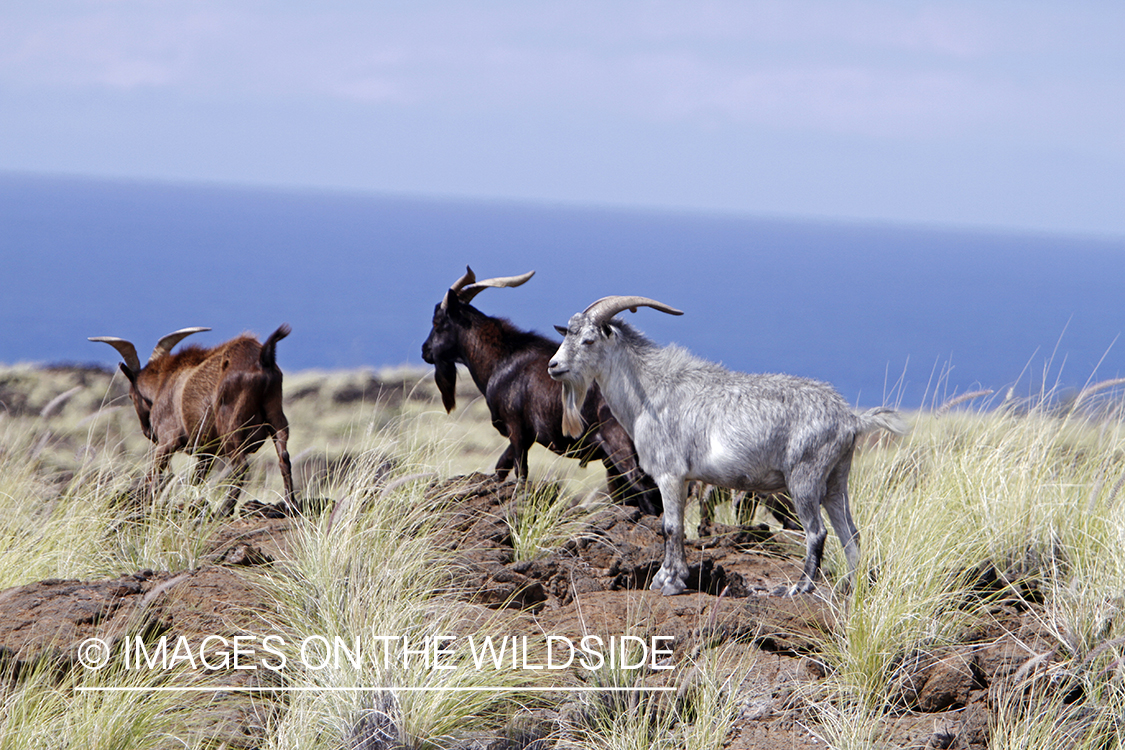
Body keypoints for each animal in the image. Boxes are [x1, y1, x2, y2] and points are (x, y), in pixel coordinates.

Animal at [89, 326, 294, 512]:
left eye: (131, 396)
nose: (148, 432)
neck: (164, 383)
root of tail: (262, 359)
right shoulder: (206, 451)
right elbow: (196, 480)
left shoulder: (167, 441)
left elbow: (153, 474)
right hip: (276, 416)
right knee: (283, 457)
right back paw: (291, 506)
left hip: (231, 427)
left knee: (240, 467)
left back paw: (224, 511)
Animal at [425, 265, 661, 517]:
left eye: (438, 322)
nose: (425, 351)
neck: (502, 359)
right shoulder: (526, 435)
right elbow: (501, 468)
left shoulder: (516, 428)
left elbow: (520, 472)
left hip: (620, 444)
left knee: (645, 486)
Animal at [549, 296, 909, 593]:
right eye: (566, 334)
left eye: (588, 340)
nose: (554, 366)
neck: (650, 392)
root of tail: (851, 419)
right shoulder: (685, 479)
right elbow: (677, 527)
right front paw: (671, 576)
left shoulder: (670, 474)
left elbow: (670, 526)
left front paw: (670, 582)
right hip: (836, 478)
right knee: (850, 533)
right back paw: (851, 588)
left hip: (805, 476)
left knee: (817, 532)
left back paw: (799, 588)